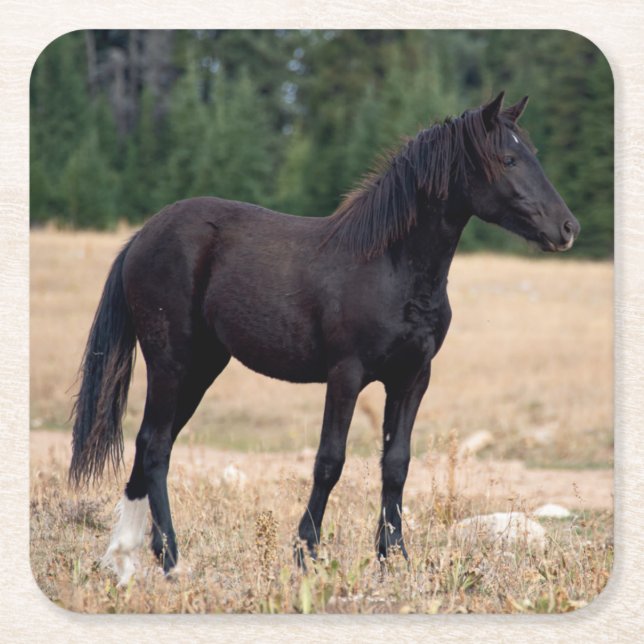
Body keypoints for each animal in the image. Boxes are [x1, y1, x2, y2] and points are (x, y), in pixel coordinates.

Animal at [69, 91, 580, 585]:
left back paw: (124, 558)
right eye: (508, 159)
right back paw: (171, 561)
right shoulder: (346, 375)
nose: (568, 228)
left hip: (202, 367)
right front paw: (305, 554)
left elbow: (396, 465)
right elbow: (330, 461)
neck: (391, 266)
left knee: (151, 446)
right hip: (171, 361)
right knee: (155, 446)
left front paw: (394, 561)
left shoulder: (413, 378)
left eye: (531, 153)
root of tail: (142, 236)